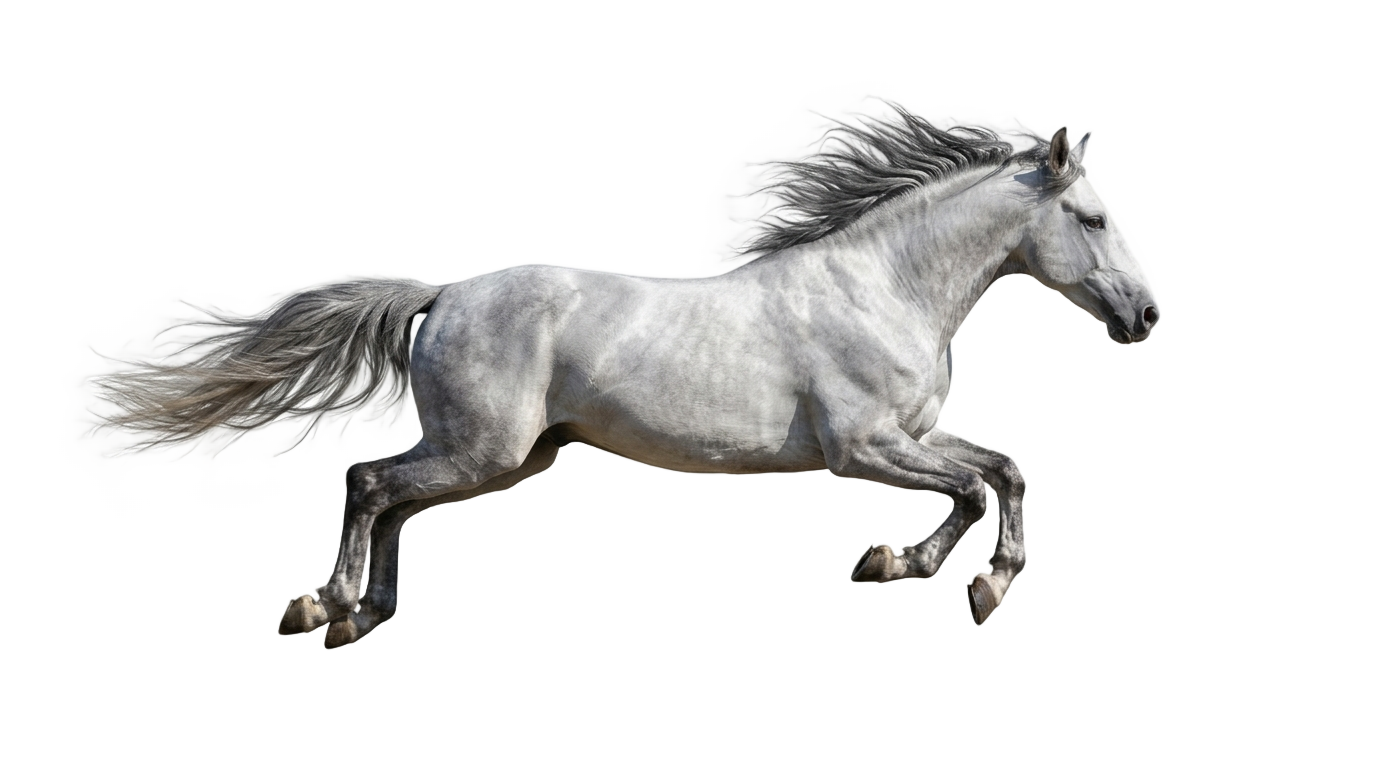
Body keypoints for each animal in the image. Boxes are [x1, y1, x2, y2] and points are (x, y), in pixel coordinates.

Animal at [92, 106, 1159, 648]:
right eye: (1095, 219)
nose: (1148, 315)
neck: (882, 285)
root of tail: (437, 297)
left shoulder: (913, 438)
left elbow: (996, 472)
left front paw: (911, 566)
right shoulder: (866, 447)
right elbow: (981, 485)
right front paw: (980, 585)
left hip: (460, 446)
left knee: (388, 499)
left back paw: (375, 610)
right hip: (485, 449)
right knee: (364, 483)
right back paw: (325, 609)